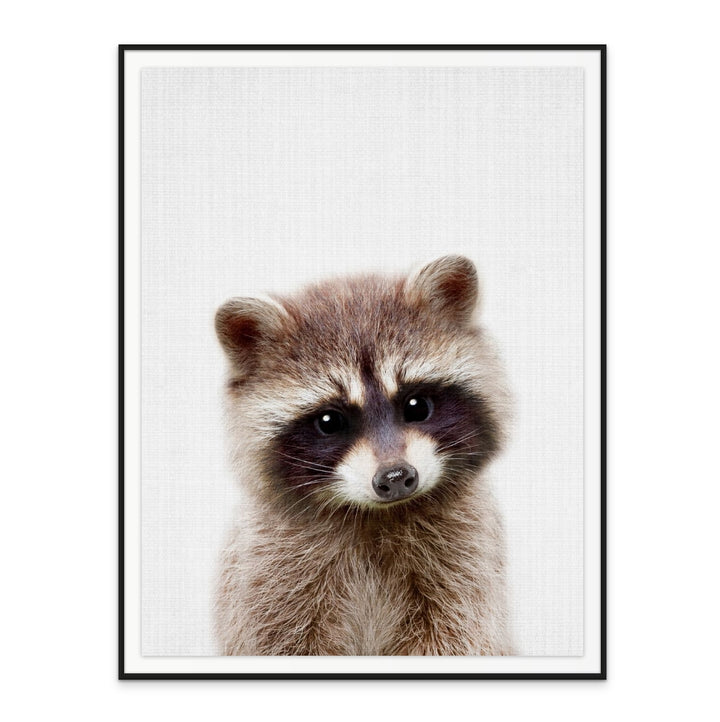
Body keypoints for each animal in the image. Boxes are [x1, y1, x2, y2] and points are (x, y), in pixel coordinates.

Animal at [214, 255, 513, 656]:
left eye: (417, 406)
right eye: (329, 421)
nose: (396, 477)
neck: (375, 516)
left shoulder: (466, 561)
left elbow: (457, 634)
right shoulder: (268, 573)